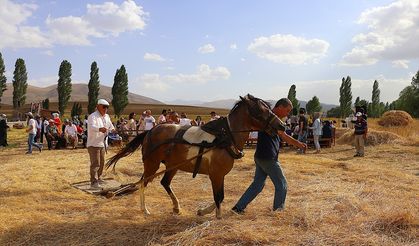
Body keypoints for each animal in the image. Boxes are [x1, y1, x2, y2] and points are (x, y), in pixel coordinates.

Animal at [106, 94, 288, 219]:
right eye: (260, 110)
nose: (282, 125)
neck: (225, 136)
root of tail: (150, 131)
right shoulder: (216, 175)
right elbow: (218, 196)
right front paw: (217, 216)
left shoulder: (219, 175)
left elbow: (221, 196)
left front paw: (204, 211)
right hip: (152, 164)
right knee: (143, 182)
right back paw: (145, 209)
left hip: (173, 166)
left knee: (165, 183)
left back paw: (176, 207)